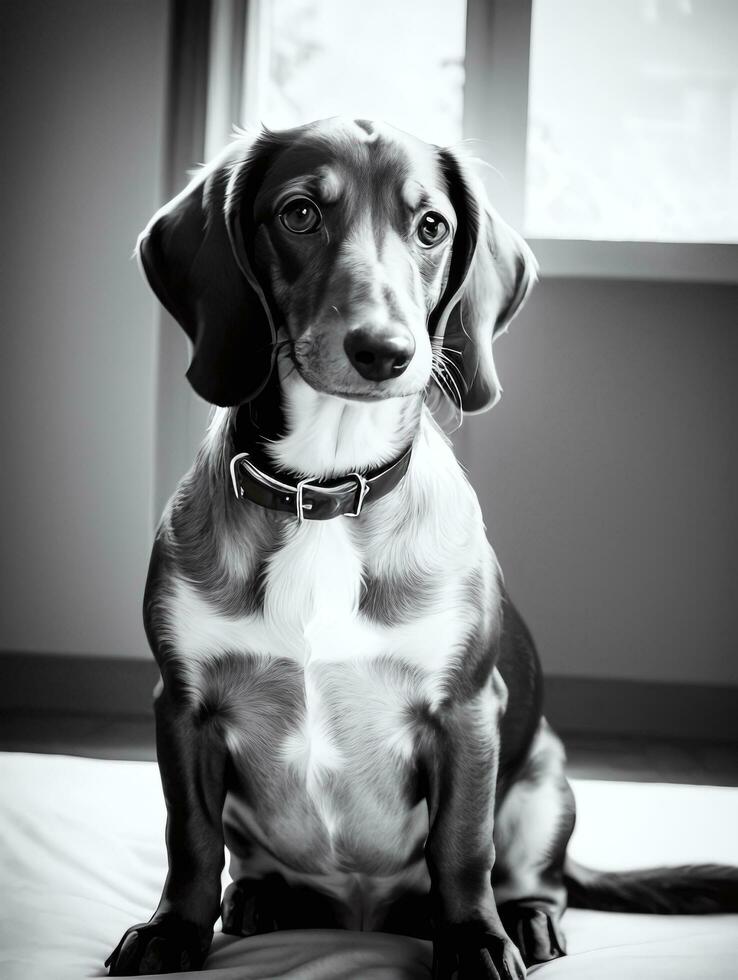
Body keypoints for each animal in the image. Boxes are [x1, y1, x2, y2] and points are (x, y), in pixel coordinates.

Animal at [103, 118, 736, 976]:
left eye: (431, 226)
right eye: (299, 213)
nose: (384, 351)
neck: (326, 490)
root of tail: (360, 915)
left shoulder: (464, 712)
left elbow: (462, 848)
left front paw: (473, 941)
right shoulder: (184, 705)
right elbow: (190, 841)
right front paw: (173, 931)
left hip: (545, 778)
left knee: (539, 877)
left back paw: (525, 917)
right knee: (244, 862)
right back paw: (262, 899)